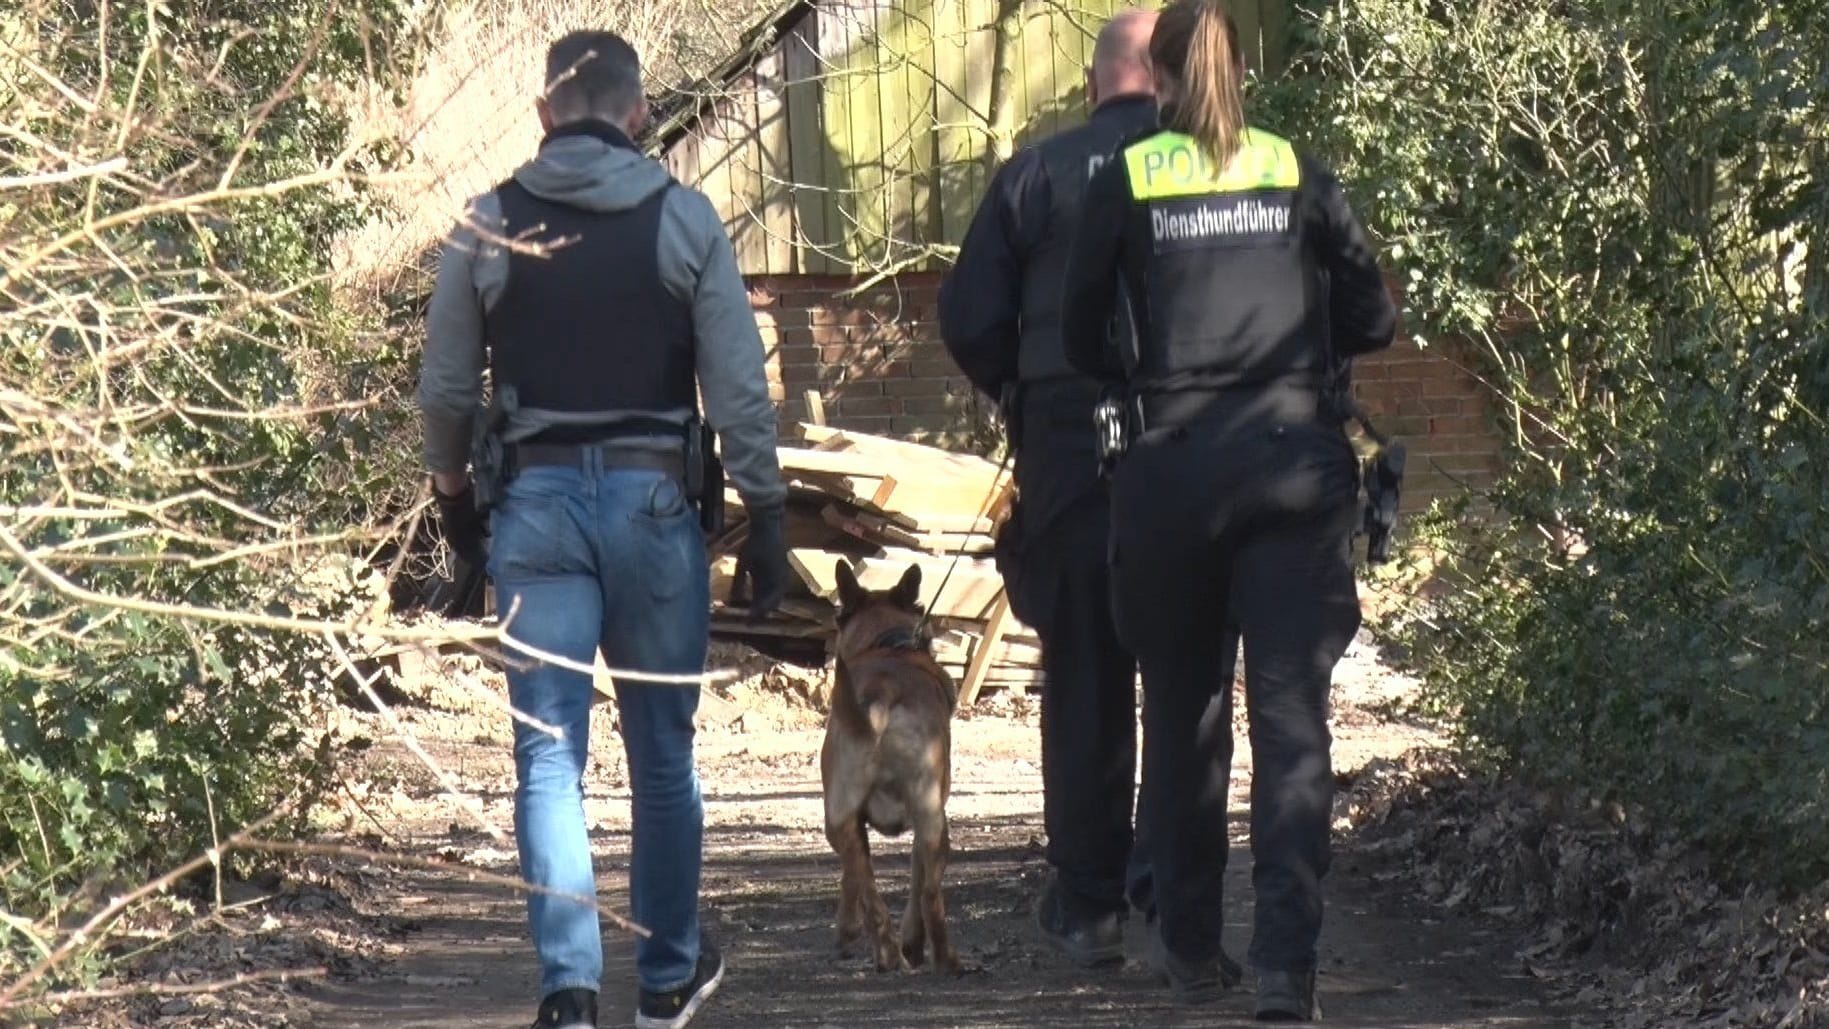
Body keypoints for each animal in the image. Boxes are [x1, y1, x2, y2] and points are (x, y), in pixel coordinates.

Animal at [826, 562, 965, 972]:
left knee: (873, 891)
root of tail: (882, 696)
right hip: (932, 817)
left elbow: (853, 880)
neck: (886, 645)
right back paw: (942, 959)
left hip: (844, 818)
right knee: (929, 894)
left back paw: (890, 955)